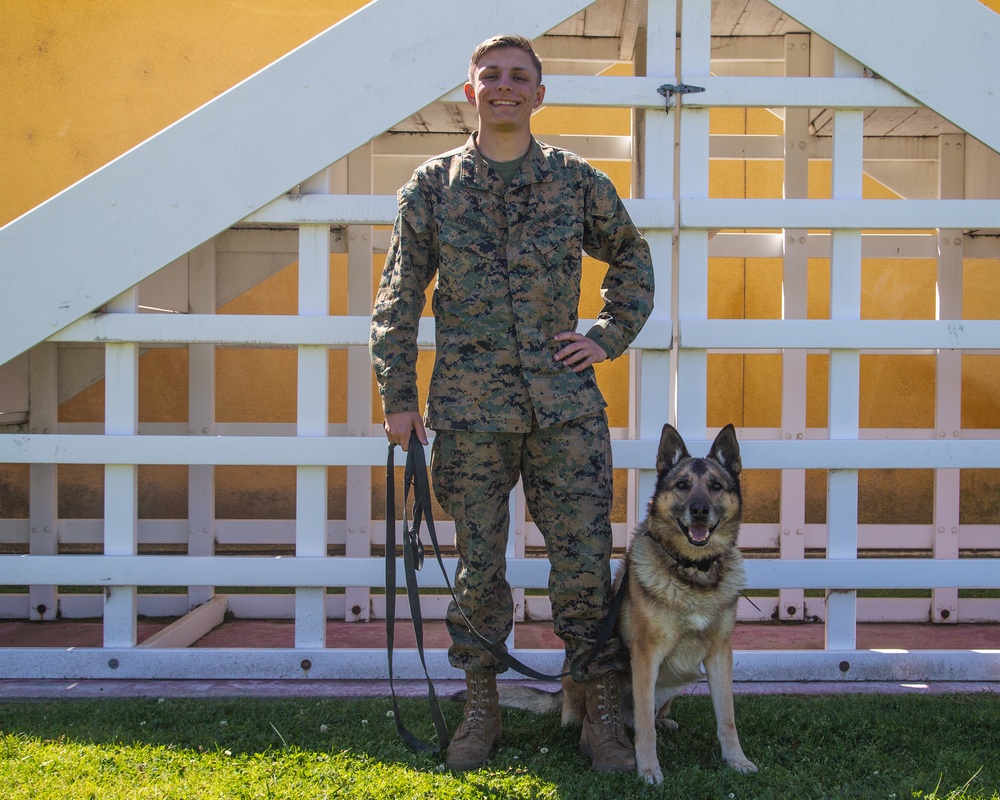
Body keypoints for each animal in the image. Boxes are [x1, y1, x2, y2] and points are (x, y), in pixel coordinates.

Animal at [500, 422, 756, 784]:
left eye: (716, 486)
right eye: (682, 485)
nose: (699, 510)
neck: (692, 572)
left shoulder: (720, 654)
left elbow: (727, 718)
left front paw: (736, 760)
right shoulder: (647, 655)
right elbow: (646, 727)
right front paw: (648, 768)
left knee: (654, 713)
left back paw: (665, 720)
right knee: (603, 714)